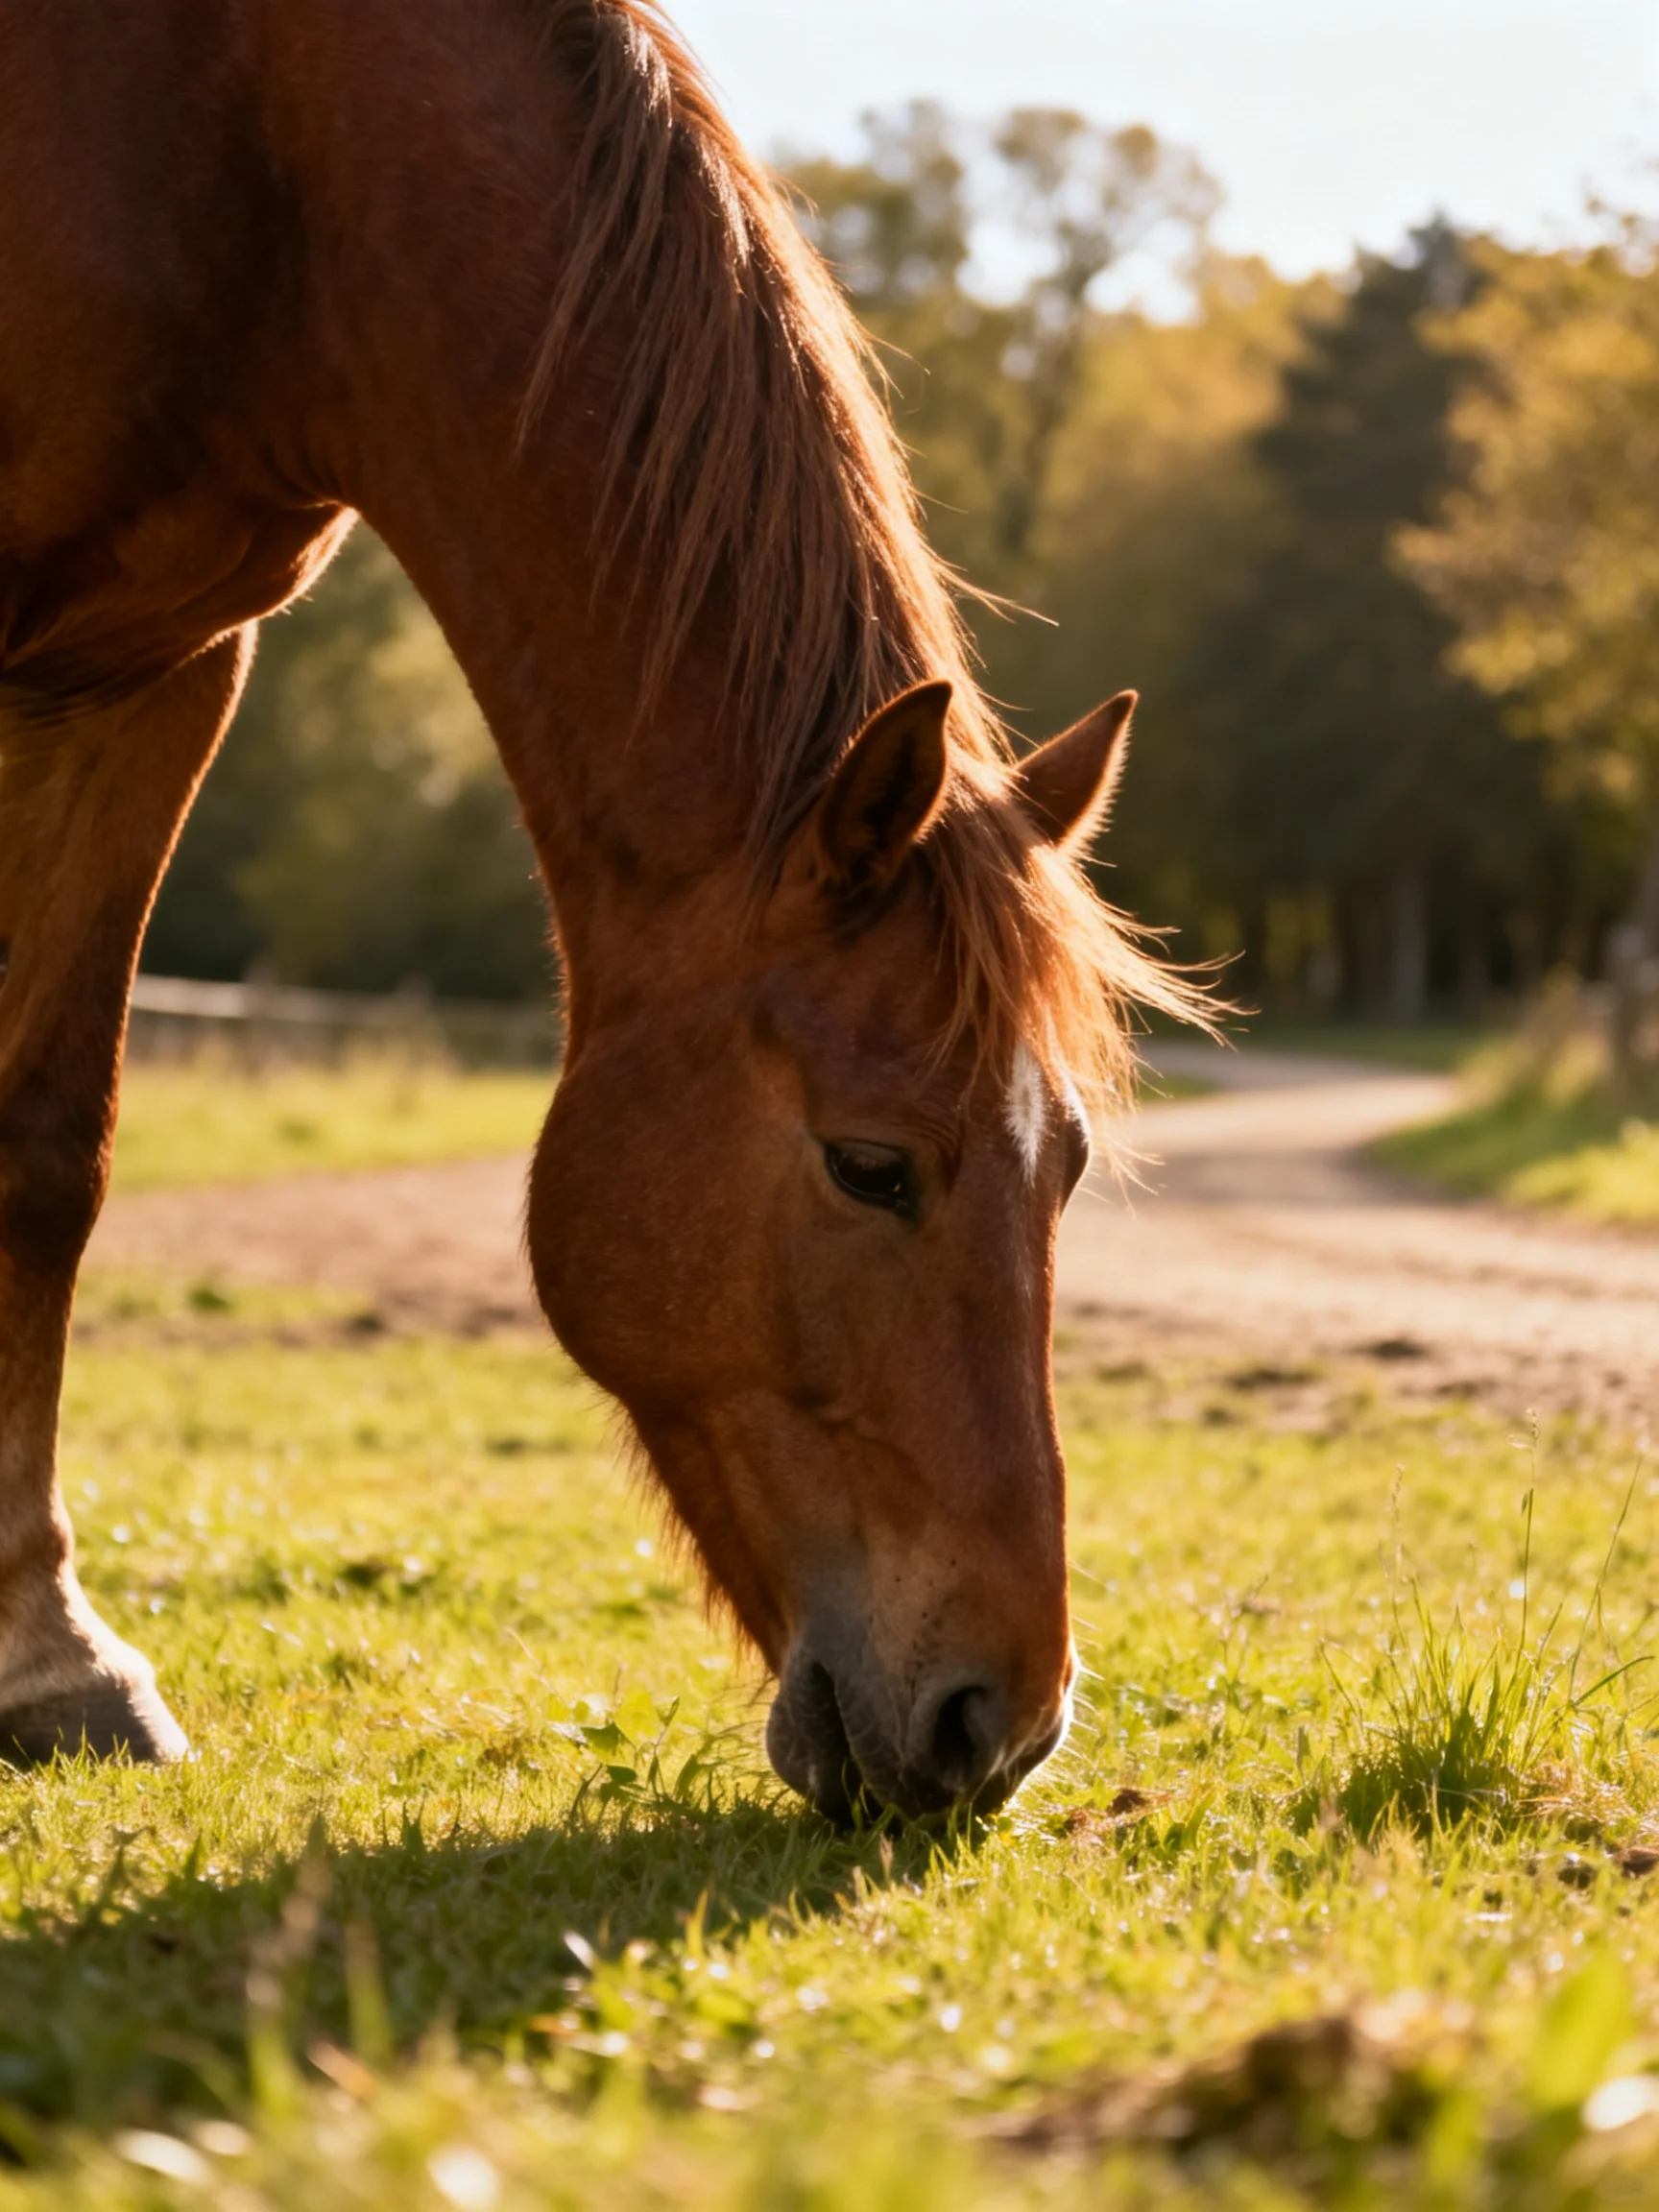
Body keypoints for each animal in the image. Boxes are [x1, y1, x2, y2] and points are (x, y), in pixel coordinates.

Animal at [0, 0, 1196, 1821]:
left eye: (1062, 1164)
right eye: (871, 1165)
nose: (1003, 1725)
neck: (248, 136)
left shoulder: (151, 670)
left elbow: (48, 1150)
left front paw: (49, 1656)